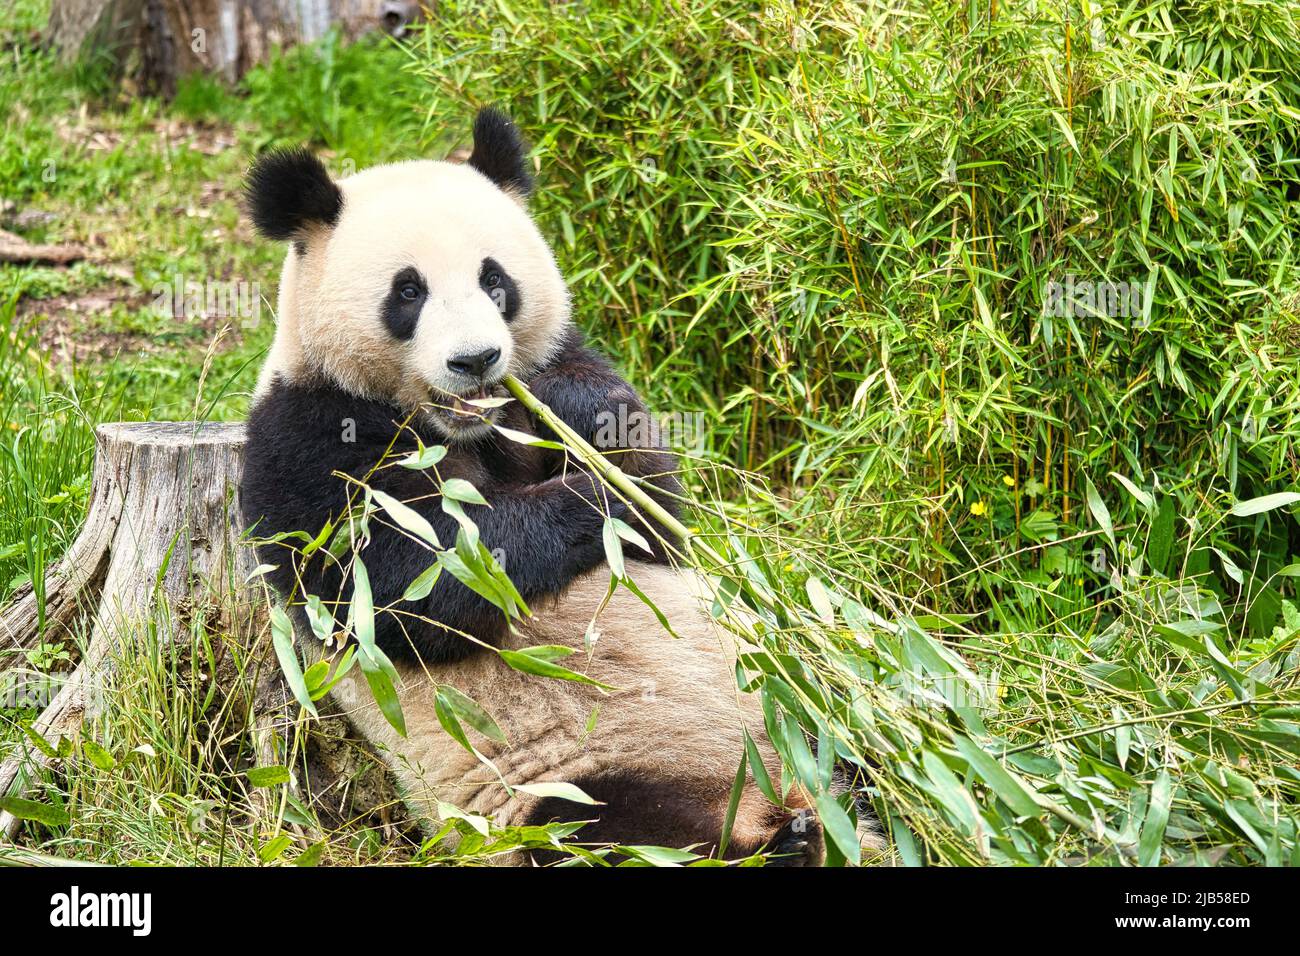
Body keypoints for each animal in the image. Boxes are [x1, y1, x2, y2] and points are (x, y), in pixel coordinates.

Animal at [239, 108, 868, 863]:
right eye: (408, 291)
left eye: (495, 280)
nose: (477, 359)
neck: (462, 426)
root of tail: (764, 793)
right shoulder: (304, 438)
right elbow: (404, 582)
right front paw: (595, 500)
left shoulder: (554, 372)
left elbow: (655, 501)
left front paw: (588, 429)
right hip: (568, 783)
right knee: (615, 832)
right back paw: (783, 843)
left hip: (792, 705)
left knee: (848, 726)